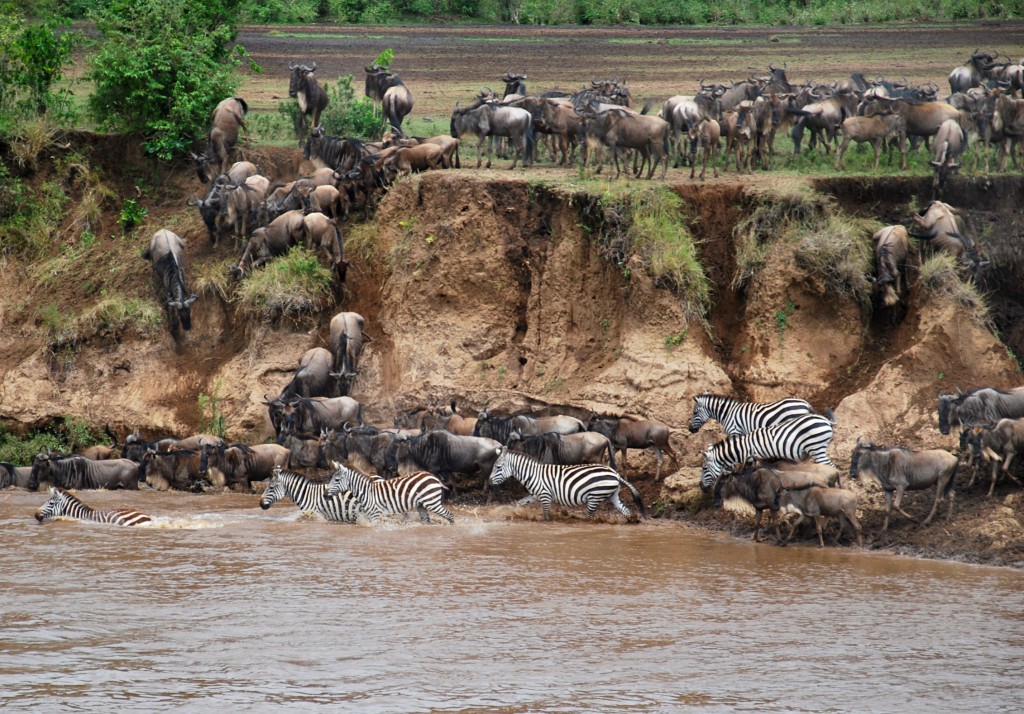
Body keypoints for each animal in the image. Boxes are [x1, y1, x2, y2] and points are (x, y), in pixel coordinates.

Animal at [323, 458, 452, 520]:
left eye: (336, 480)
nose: (324, 495)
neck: (366, 492)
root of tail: (434, 477)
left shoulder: (375, 514)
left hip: (432, 502)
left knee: (449, 515)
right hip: (421, 505)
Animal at [485, 448, 643, 520]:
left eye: (498, 467)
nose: (489, 481)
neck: (532, 474)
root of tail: (616, 474)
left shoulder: (545, 496)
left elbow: (546, 515)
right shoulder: (535, 495)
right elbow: (519, 503)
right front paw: (513, 512)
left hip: (595, 496)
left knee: (589, 517)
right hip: (613, 495)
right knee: (626, 511)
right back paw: (632, 521)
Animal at [700, 409, 835, 493]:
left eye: (704, 468)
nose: (701, 488)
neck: (746, 447)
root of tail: (825, 420)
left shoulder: (762, 456)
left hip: (816, 447)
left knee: (831, 466)